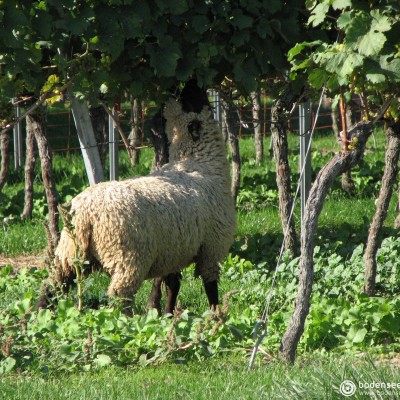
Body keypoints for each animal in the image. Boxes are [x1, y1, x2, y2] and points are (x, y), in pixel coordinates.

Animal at [37, 94, 236, 316]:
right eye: (192, 98)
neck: (200, 163)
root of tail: (86, 214)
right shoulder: (212, 247)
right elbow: (210, 287)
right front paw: (216, 314)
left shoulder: (173, 250)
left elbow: (172, 285)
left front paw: (168, 315)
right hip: (127, 258)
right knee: (119, 296)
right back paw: (126, 322)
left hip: (69, 253)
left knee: (51, 287)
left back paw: (38, 317)